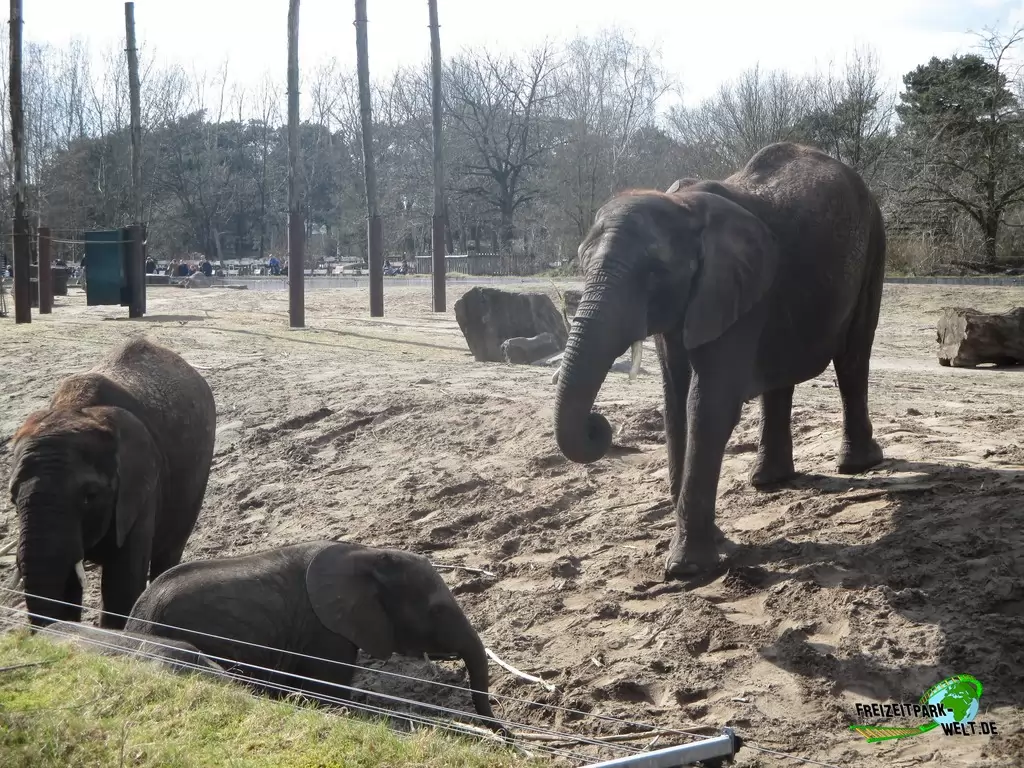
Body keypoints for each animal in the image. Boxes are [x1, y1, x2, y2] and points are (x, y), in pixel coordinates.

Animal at [7, 336, 217, 630]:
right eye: (13, 499)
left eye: (90, 496)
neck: (75, 409)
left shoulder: (142, 486)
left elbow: (122, 585)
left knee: (169, 550)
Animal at [124, 540, 507, 736]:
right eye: (436, 611)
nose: (506, 735)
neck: (365, 555)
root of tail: (134, 618)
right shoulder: (326, 630)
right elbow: (330, 692)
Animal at [552, 142, 886, 580]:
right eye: (581, 263)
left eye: (655, 271)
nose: (599, 425)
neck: (682, 206)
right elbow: (675, 400)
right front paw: (715, 544)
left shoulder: (734, 289)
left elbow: (708, 403)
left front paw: (688, 569)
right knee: (781, 374)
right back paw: (768, 481)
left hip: (874, 245)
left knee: (852, 357)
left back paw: (857, 466)